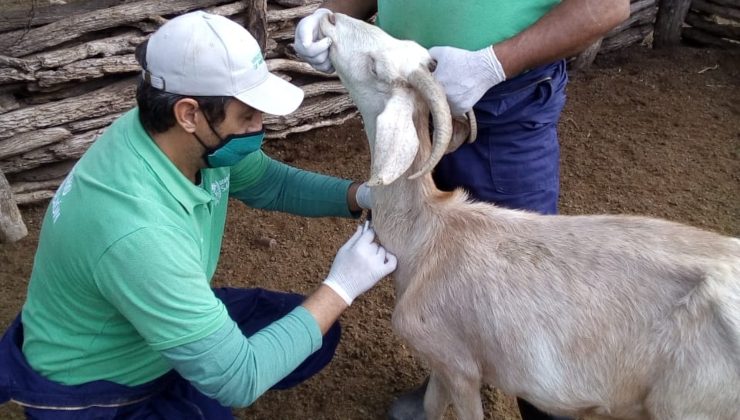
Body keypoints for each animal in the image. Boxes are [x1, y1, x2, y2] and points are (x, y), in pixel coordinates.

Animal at [320, 13, 740, 420]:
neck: (426, 235)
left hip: (691, 406)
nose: (329, 18)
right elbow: (431, 406)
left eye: (376, 67)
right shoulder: (442, 362)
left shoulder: (459, 365)